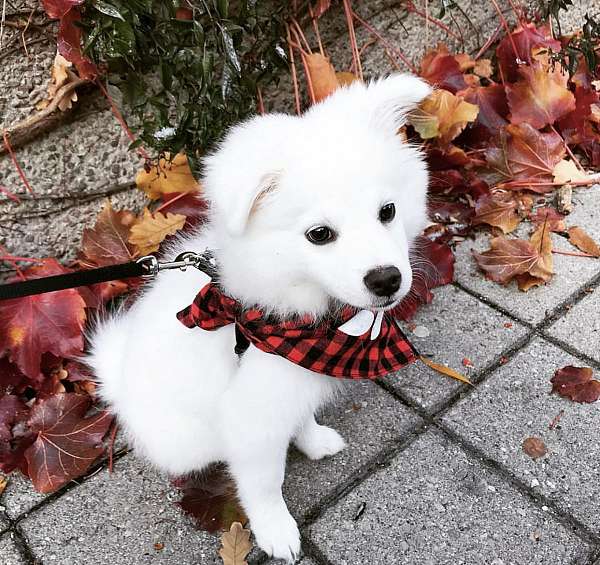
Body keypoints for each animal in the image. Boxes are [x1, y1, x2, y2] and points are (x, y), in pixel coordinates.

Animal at [88, 74, 432, 560]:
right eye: (319, 234)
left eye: (388, 211)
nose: (386, 279)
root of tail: (118, 381)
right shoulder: (252, 416)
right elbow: (264, 484)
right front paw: (275, 530)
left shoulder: (293, 381)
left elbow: (300, 417)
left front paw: (312, 441)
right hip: (185, 441)